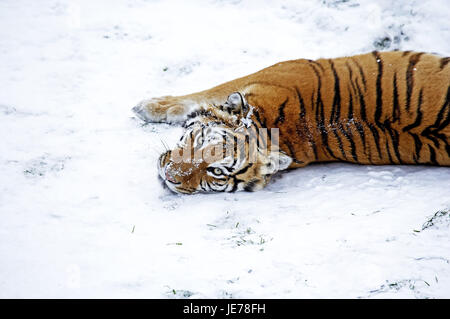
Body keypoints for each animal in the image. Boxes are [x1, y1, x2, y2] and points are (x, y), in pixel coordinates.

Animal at [133, 51, 450, 195]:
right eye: (197, 141)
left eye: (217, 171)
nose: (169, 176)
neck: (272, 126)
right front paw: (149, 106)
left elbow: (204, 92)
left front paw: (148, 106)